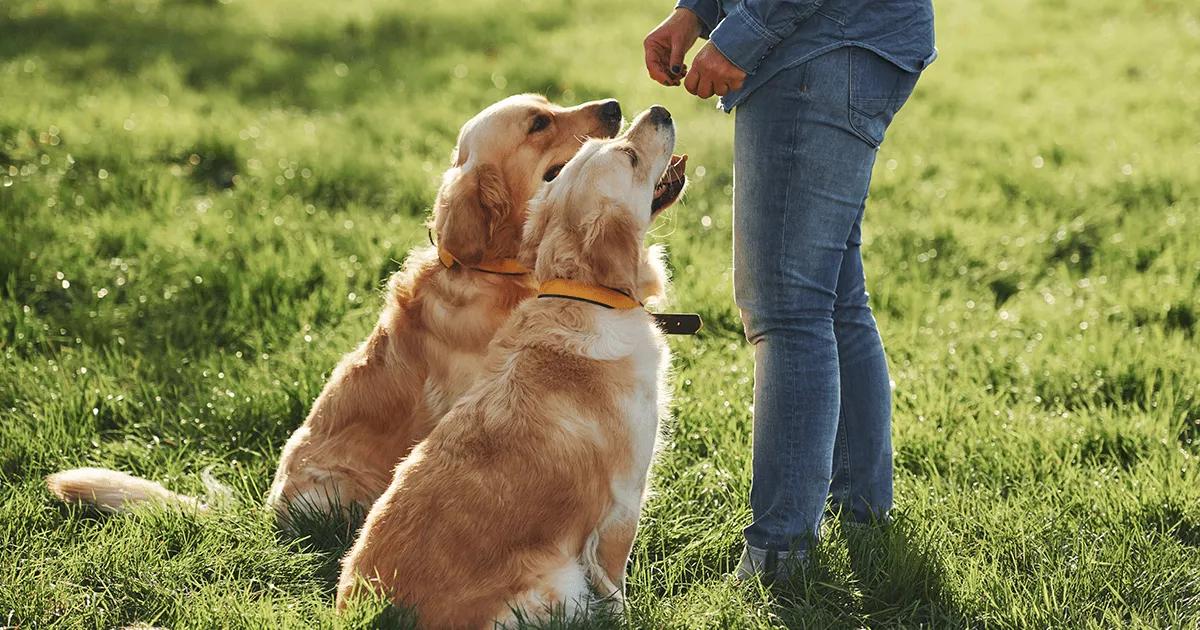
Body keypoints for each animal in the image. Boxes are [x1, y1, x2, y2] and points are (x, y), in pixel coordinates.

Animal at [44, 93, 628, 525]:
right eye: (539, 123)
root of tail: (265, 508)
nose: (615, 106)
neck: (499, 274)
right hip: (334, 491)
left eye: (551, 103)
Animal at [336, 105, 686, 624]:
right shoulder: (623, 503)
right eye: (629, 155)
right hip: (559, 585)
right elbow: (616, 585)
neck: (584, 296)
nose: (660, 110)